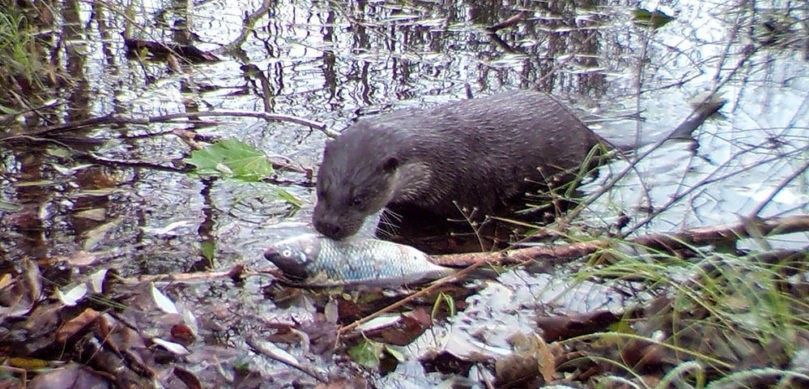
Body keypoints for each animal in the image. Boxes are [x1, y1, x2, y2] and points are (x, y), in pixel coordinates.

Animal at [312, 90, 604, 239]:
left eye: (358, 200)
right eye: (322, 191)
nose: (327, 225)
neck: (438, 159)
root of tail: (582, 126)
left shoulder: (474, 195)